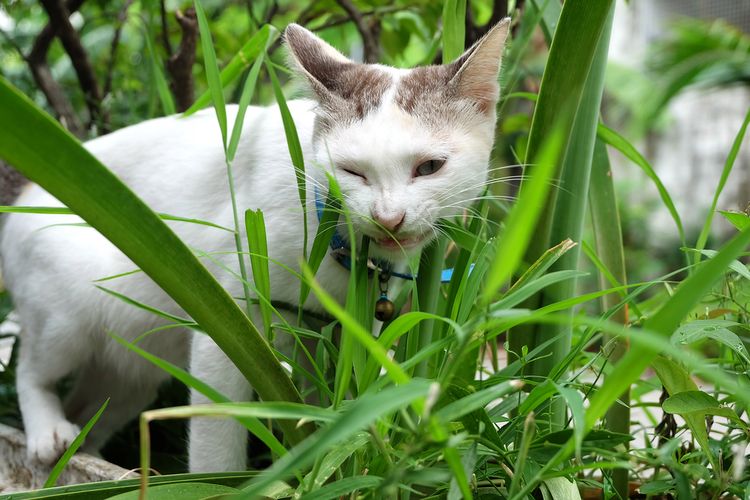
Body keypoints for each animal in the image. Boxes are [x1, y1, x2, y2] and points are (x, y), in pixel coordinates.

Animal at [0, 20, 512, 472]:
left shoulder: (342, 331)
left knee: (97, 405)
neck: (337, 246)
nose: (389, 217)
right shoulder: (227, 322)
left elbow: (327, 405)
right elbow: (217, 436)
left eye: (429, 167)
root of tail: (24, 192)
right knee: (31, 368)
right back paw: (49, 434)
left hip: (134, 364)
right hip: (67, 308)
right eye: (352, 171)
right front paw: (220, 483)